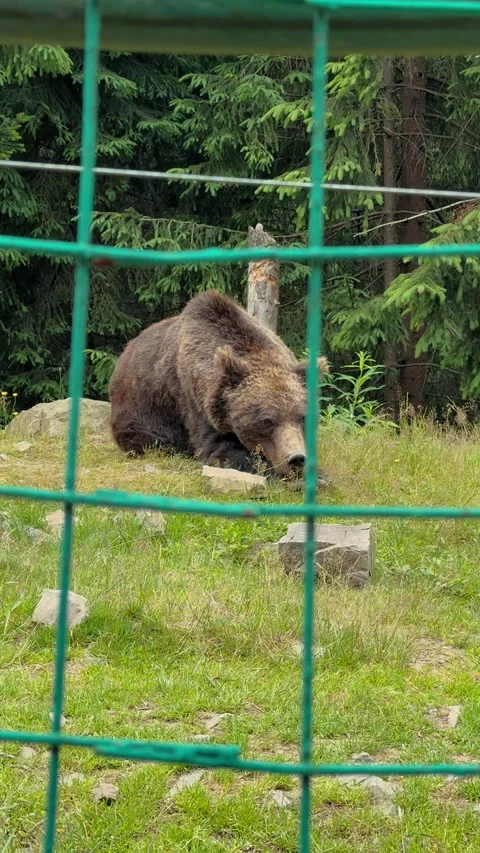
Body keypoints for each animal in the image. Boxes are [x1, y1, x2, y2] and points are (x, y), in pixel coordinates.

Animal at [108, 289, 329, 483]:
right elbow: (219, 450)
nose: (296, 458)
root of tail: (125, 352)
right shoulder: (196, 402)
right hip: (139, 410)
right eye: (266, 421)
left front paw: (319, 474)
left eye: (303, 417)